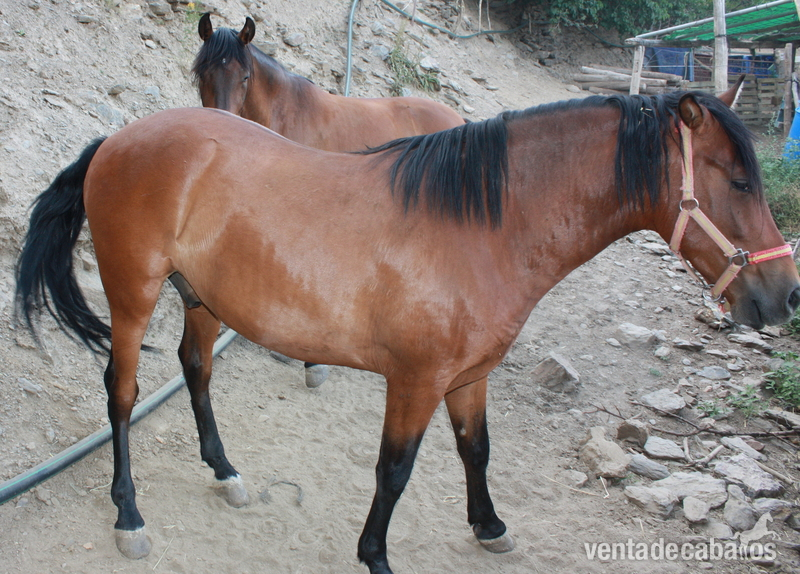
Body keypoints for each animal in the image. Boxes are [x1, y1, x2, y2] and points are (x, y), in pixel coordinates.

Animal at [15, 82, 800, 574]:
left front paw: (490, 527)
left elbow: (476, 450)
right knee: (121, 393)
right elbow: (394, 472)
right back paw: (129, 515)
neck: (482, 229)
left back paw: (227, 471)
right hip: (133, 295)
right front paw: (376, 556)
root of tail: (118, 139)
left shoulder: (468, 377)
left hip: (203, 301)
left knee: (195, 370)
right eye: (738, 181)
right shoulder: (415, 382)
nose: (784, 295)